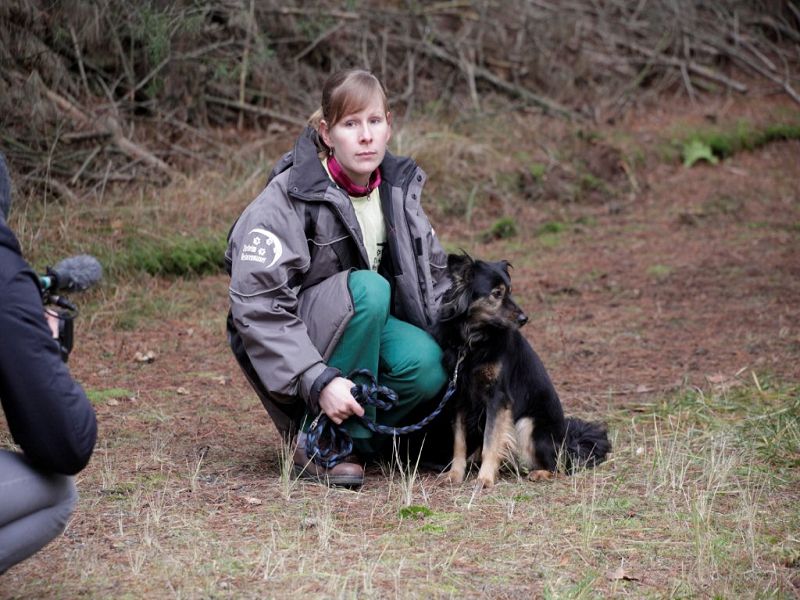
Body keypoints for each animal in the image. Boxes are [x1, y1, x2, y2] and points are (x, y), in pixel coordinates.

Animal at [436, 253, 611, 488]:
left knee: (559, 468)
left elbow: (491, 441)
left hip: (528, 426)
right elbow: (459, 442)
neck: (475, 339)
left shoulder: (498, 397)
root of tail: (569, 444)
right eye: (497, 293)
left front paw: (485, 478)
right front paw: (454, 474)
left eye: (510, 290)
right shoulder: (459, 395)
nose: (524, 319)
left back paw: (540, 473)